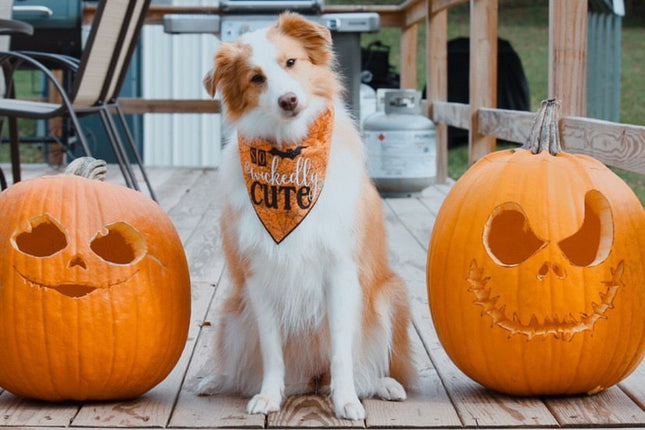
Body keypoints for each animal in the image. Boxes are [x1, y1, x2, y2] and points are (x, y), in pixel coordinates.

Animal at [199, 12, 416, 420]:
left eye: (291, 62)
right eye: (256, 78)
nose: (288, 100)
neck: (289, 149)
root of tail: (313, 379)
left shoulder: (341, 271)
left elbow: (343, 353)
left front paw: (346, 401)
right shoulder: (259, 277)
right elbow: (271, 352)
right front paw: (269, 396)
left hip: (388, 299)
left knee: (368, 368)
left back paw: (386, 385)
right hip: (233, 317)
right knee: (242, 369)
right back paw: (215, 380)